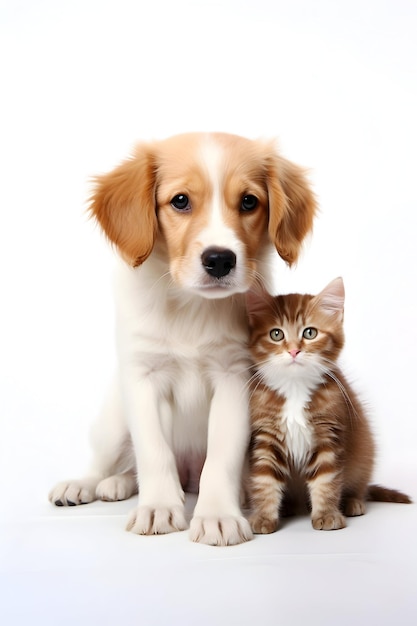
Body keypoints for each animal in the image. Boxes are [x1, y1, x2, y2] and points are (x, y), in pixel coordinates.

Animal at [48, 132, 316, 540]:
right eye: (180, 201)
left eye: (249, 201)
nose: (220, 259)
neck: (191, 307)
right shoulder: (144, 377)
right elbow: (153, 451)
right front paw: (158, 508)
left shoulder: (233, 377)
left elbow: (220, 457)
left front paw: (218, 515)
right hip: (113, 420)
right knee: (111, 460)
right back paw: (89, 484)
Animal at [247, 278, 410, 532]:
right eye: (276, 334)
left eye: (310, 332)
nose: (294, 350)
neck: (295, 387)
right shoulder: (266, 436)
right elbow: (264, 479)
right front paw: (264, 517)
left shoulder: (328, 432)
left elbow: (327, 479)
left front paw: (327, 515)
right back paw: (288, 507)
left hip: (363, 458)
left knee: (359, 485)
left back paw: (353, 502)